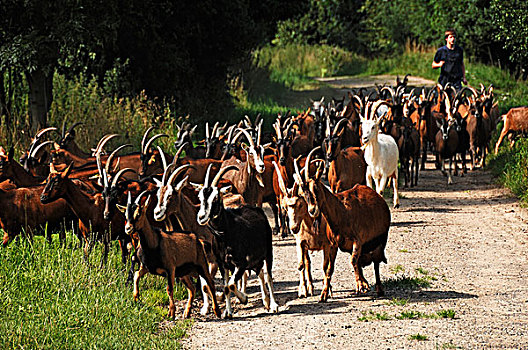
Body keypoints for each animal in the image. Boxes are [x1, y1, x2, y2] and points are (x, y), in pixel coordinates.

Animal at [117, 191, 221, 320]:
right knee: (191, 288)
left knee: (210, 283)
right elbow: (136, 275)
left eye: (139, 214)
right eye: (126, 215)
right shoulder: (147, 267)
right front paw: (136, 297)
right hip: (183, 273)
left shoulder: (170, 269)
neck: (154, 243)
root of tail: (199, 241)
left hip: (201, 265)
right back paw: (187, 312)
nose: (128, 228)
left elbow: (169, 289)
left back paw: (217, 312)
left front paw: (171, 313)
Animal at [196, 165, 280, 318]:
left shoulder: (241, 263)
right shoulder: (223, 264)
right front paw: (228, 312)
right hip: (255, 258)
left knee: (268, 276)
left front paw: (244, 299)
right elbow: (226, 286)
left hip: (268, 253)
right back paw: (265, 301)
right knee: (259, 272)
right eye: (200, 197)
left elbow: (231, 284)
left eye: (216, 197)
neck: (225, 234)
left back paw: (273, 305)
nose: (201, 217)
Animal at [292, 148, 392, 298]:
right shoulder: (333, 245)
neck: (341, 212)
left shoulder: (358, 241)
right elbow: (329, 268)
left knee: (375, 262)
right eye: (304, 193)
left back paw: (378, 288)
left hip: (379, 241)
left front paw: (361, 285)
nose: (312, 210)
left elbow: (353, 261)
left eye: (316, 188)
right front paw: (324, 294)